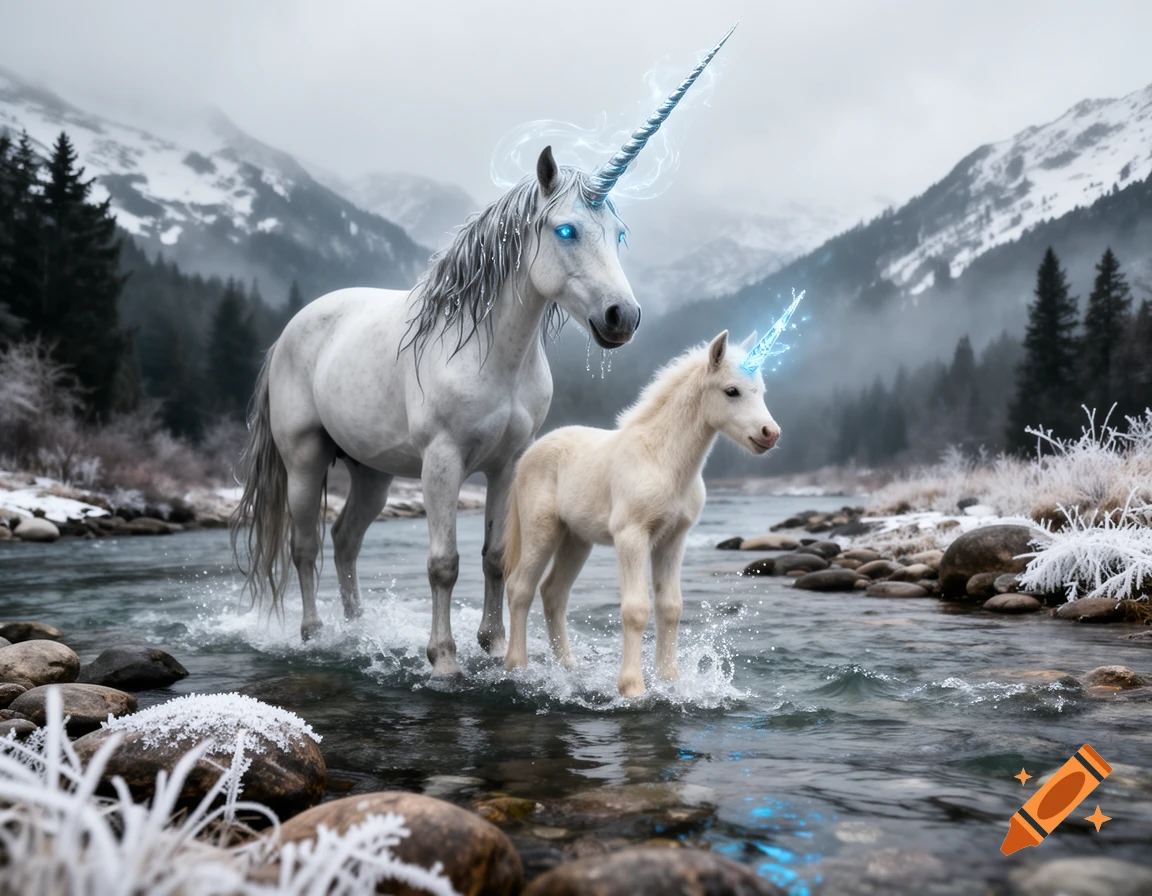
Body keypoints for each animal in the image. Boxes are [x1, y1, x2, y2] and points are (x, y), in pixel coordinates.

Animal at [230, 27, 737, 678]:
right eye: (566, 230)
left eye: (619, 235)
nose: (622, 318)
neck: (492, 357)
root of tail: (290, 331)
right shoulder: (442, 461)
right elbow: (443, 563)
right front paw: (443, 659)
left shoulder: (507, 462)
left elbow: (496, 555)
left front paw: (494, 647)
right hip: (304, 457)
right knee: (304, 545)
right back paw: (315, 635)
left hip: (370, 471)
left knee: (345, 540)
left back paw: (358, 631)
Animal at [502, 330, 781, 697]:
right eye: (731, 390)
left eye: (761, 391)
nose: (770, 434)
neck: (662, 460)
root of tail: (526, 457)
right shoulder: (631, 535)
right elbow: (636, 609)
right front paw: (632, 687)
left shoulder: (673, 538)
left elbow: (670, 607)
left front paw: (670, 680)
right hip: (542, 529)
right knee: (520, 588)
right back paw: (517, 668)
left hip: (576, 539)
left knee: (553, 593)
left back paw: (568, 669)